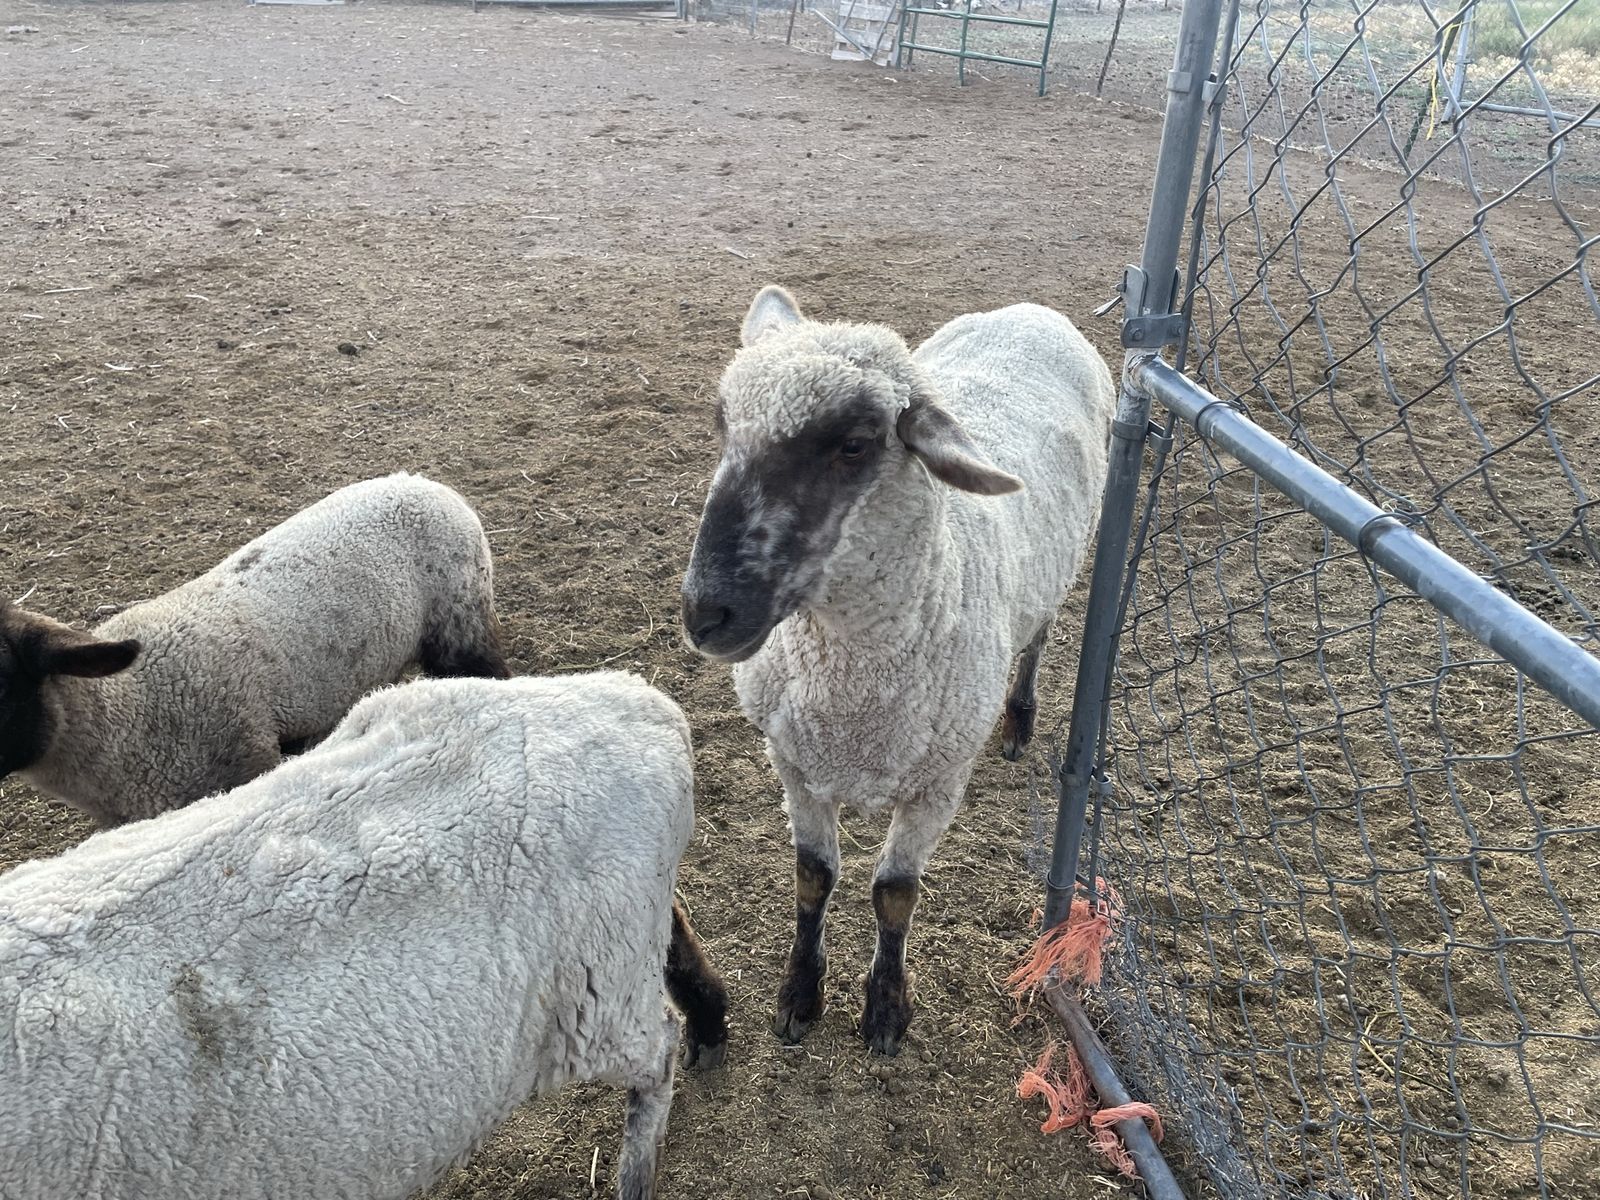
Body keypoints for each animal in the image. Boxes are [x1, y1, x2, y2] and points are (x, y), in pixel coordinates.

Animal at [680, 286, 1113, 1055]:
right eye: (723, 423)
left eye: (855, 444)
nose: (706, 613)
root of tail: (1031, 310)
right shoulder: (795, 762)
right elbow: (814, 877)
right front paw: (799, 997)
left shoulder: (939, 783)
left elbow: (894, 895)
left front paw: (885, 1011)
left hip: (1063, 568)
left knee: (1038, 637)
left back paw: (1019, 722)